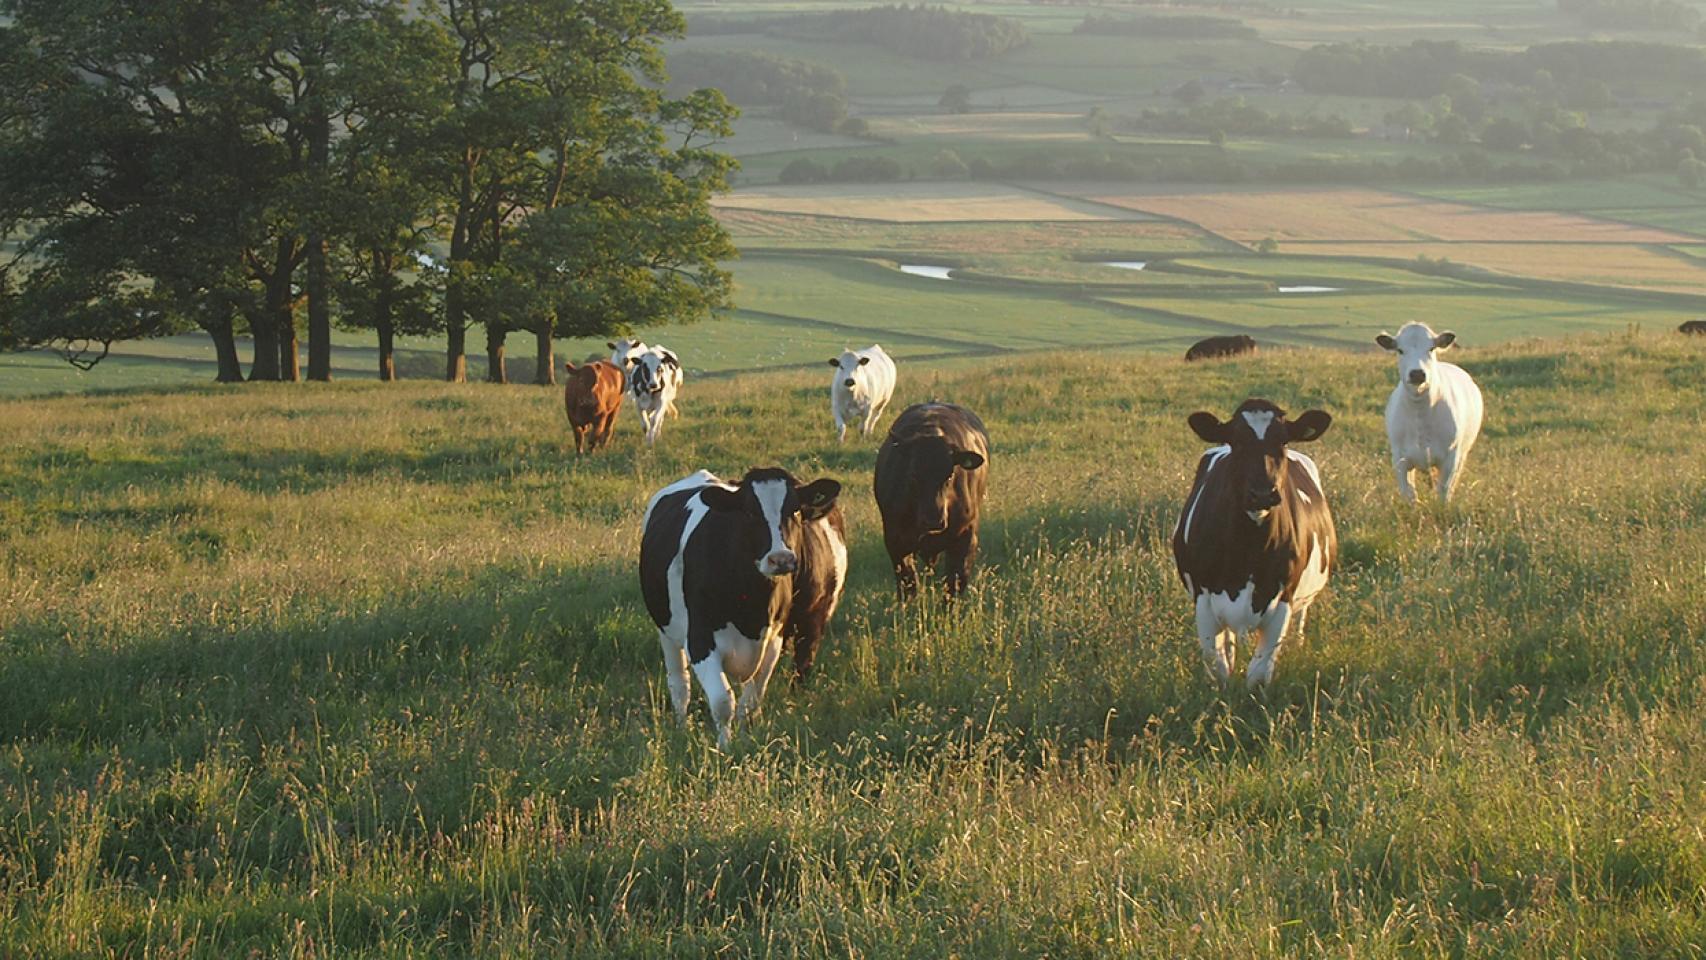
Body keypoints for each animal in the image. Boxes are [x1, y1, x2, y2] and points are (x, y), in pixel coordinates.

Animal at [641, 470, 846, 746]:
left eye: (795, 510)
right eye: (749, 512)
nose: (781, 559)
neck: (751, 605)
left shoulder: (774, 640)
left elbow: (749, 703)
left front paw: (746, 740)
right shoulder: (699, 640)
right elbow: (722, 701)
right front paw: (724, 747)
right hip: (666, 631)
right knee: (680, 686)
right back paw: (682, 729)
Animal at [880, 402, 989, 596]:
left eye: (950, 474)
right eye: (913, 474)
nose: (933, 520)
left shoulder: (966, 538)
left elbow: (954, 583)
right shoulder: (895, 541)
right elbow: (908, 584)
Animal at [1166, 400, 1337, 692]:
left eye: (1283, 440)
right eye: (1237, 441)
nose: (1262, 493)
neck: (1246, 551)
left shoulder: (1283, 600)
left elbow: (1258, 673)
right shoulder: (1204, 600)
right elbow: (1219, 668)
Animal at [1371, 322, 1480, 504]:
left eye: (1431, 348)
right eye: (1400, 350)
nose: (1417, 373)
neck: (1420, 412)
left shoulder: (1451, 457)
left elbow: (1443, 492)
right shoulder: (1400, 459)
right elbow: (1410, 495)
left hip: (1463, 453)